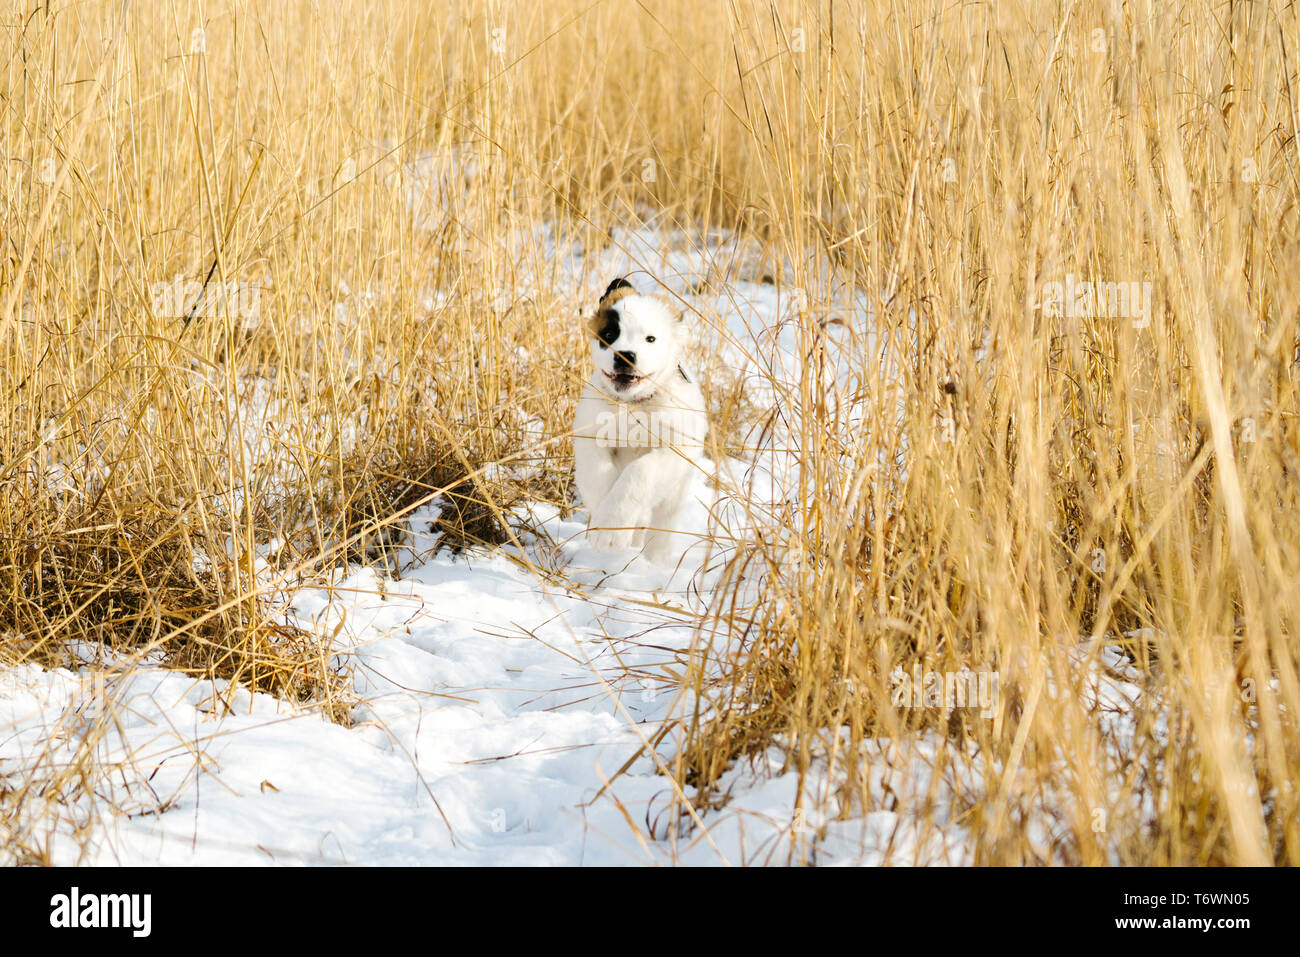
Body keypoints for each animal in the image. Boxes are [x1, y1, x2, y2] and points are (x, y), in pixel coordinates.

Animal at [574, 276, 707, 564]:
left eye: (650, 339)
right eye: (609, 335)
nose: (626, 355)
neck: (631, 406)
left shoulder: (672, 453)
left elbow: (638, 474)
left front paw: (611, 528)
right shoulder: (590, 441)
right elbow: (600, 478)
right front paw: (606, 528)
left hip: (675, 496)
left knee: (662, 525)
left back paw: (654, 561)